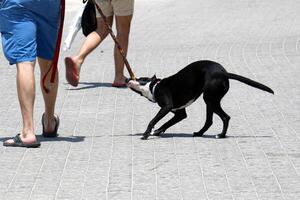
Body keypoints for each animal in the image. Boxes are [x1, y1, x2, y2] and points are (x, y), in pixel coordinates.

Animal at [127, 60, 274, 140]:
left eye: (139, 78)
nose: (126, 78)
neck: (155, 86)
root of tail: (223, 73)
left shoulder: (166, 107)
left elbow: (153, 121)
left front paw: (146, 134)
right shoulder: (180, 113)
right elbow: (166, 124)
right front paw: (157, 132)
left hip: (209, 99)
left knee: (225, 117)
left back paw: (221, 135)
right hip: (211, 100)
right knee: (210, 121)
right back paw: (199, 133)